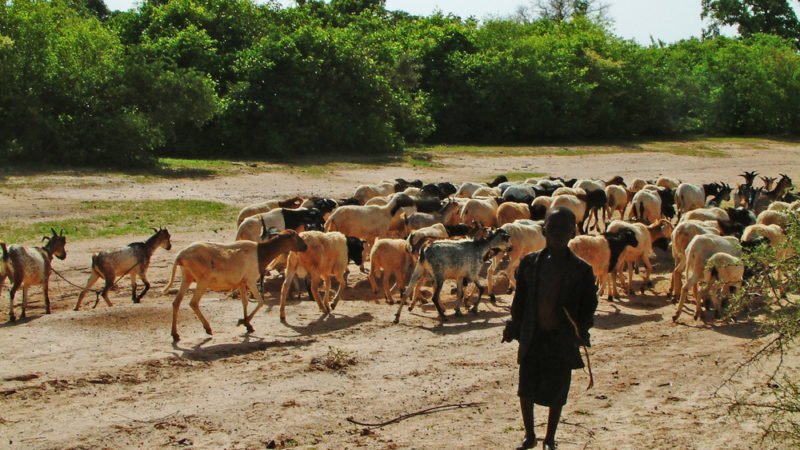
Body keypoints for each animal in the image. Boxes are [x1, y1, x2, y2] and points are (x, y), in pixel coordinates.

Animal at [164, 223, 308, 342]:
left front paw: (248, 325)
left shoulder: (241, 282)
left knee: (176, 302)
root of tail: (180, 256)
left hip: (186, 277)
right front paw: (242, 321)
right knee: (193, 303)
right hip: (202, 281)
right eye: (295, 236)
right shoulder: (250, 279)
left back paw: (175, 334)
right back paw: (208, 328)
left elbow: (244, 302)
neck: (260, 253)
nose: (305, 246)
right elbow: (261, 302)